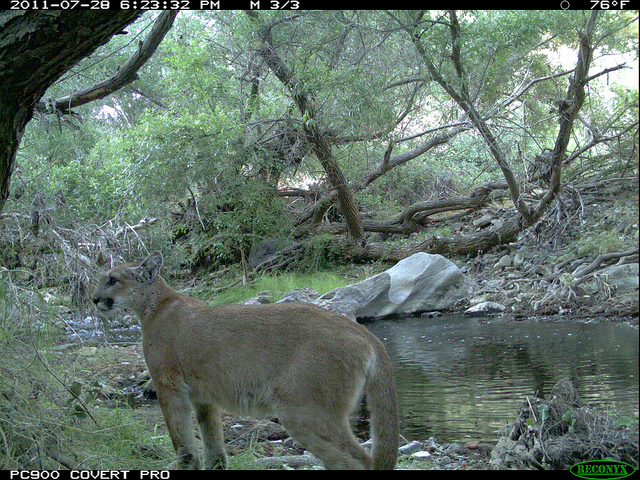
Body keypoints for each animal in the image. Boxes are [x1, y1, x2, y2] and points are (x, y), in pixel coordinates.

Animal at [92, 253, 398, 470]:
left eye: (112, 280)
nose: (93, 298)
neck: (154, 307)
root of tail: (364, 331)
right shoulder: (204, 396)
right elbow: (213, 444)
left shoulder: (168, 385)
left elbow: (184, 445)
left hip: (302, 410)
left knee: (358, 461)